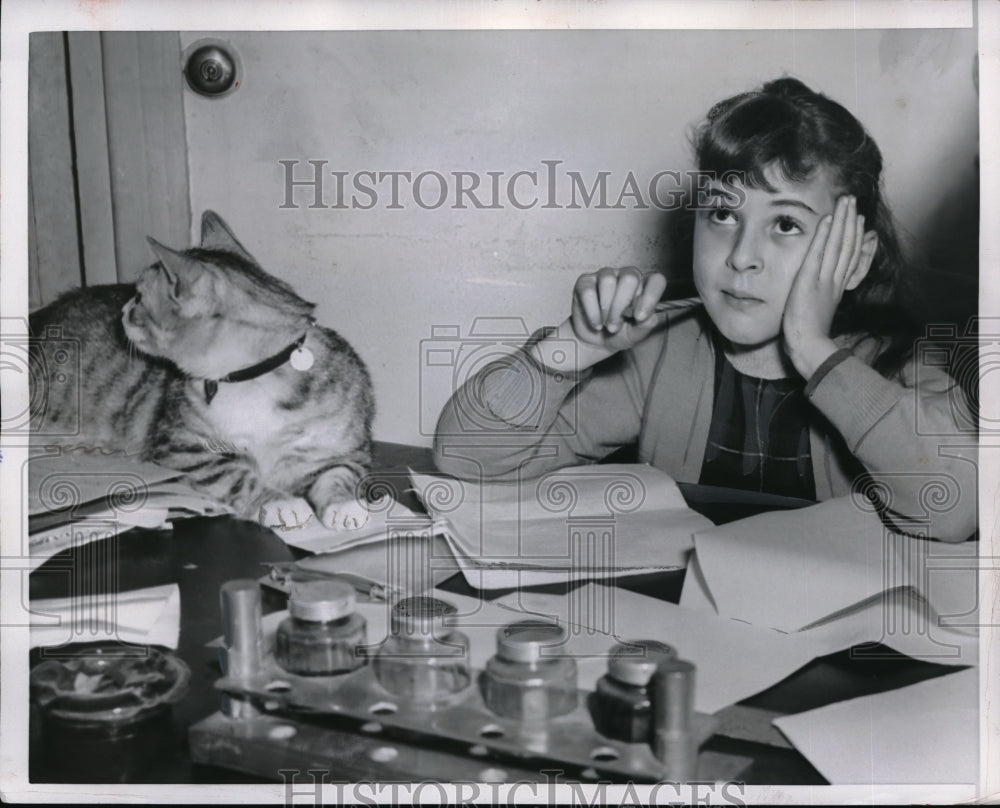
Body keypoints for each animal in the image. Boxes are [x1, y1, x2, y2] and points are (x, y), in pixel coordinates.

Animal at [31, 211, 376, 532]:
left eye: (139, 296)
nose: (123, 310)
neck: (254, 379)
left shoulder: (347, 447)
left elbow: (339, 471)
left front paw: (345, 504)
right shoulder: (180, 444)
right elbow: (233, 474)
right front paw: (278, 502)